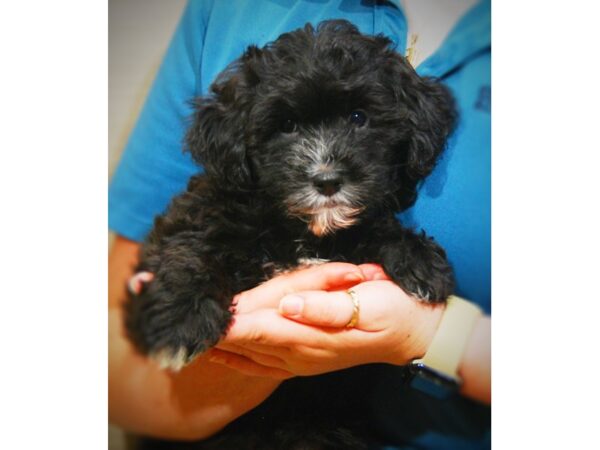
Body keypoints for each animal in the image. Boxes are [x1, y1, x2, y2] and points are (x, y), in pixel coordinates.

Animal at [125, 20, 454, 446]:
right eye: (286, 126)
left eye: (359, 117)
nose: (327, 180)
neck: (305, 229)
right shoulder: (204, 212)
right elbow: (188, 250)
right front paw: (182, 321)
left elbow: (377, 227)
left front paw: (419, 260)